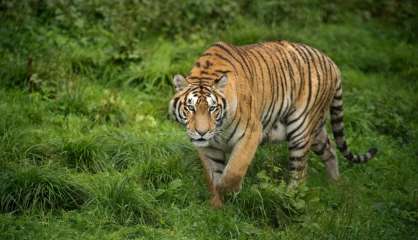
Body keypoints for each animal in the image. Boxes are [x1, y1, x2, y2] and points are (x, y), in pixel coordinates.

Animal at [168, 40, 378, 207]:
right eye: (190, 108)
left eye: (212, 108)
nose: (201, 132)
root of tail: (332, 62)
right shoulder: (208, 147)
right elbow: (213, 175)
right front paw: (217, 206)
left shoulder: (251, 133)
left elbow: (233, 170)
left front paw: (229, 191)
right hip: (316, 129)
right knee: (331, 148)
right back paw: (335, 183)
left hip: (301, 128)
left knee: (300, 173)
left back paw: (288, 198)